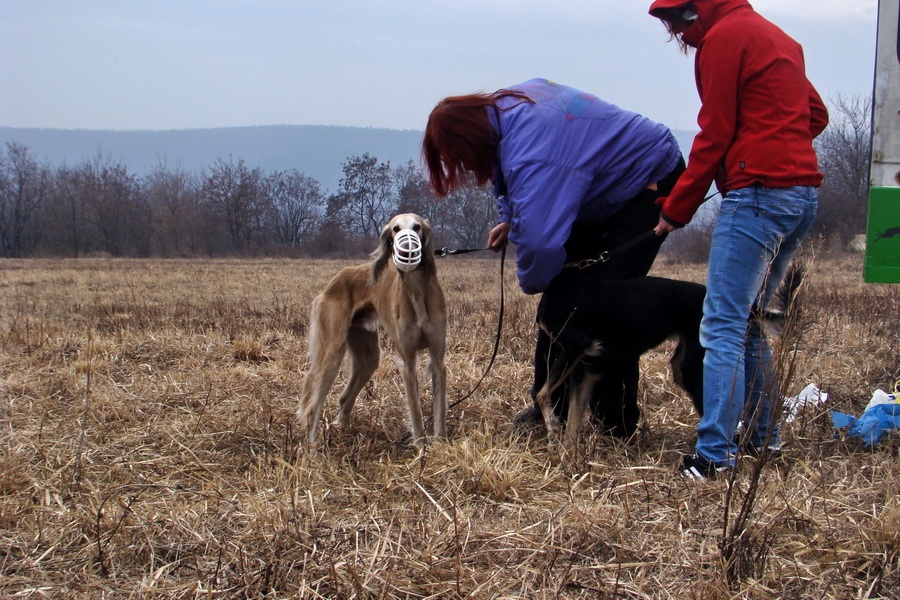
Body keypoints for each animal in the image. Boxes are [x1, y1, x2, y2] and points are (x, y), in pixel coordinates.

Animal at [298, 214, 448, 446]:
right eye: (395, 229)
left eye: (417, 227)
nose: (407, 249)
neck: (416, 290)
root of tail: (332, 283)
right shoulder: (408, 362)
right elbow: (415, 411)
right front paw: (421, 446)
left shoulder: (438, 359)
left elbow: (439, 410)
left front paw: (440, 446)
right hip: (332, 352)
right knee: (314, 405)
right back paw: (313, 448)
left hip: (367, 357)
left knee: (344, 398)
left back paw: (342, 432)